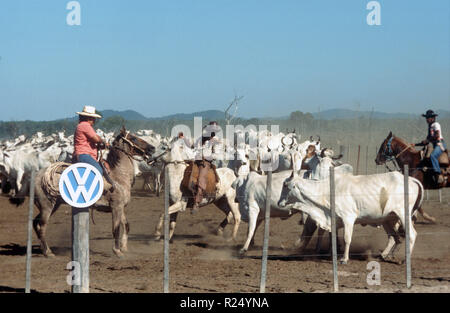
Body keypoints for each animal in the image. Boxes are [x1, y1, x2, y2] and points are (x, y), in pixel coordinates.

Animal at [31, 125, 155, 258]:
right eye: (133, 138)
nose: (152, 148)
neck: (118, 176)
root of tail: (38, 175)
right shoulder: (116, 207)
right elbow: (116, 229)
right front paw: (117, 251)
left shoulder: (121, 207)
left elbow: (126, 225)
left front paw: (124, 247)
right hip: (47, 205)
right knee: (42, 226)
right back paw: (48, 252)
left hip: (53, 205)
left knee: (35, 223)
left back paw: (42, 249)